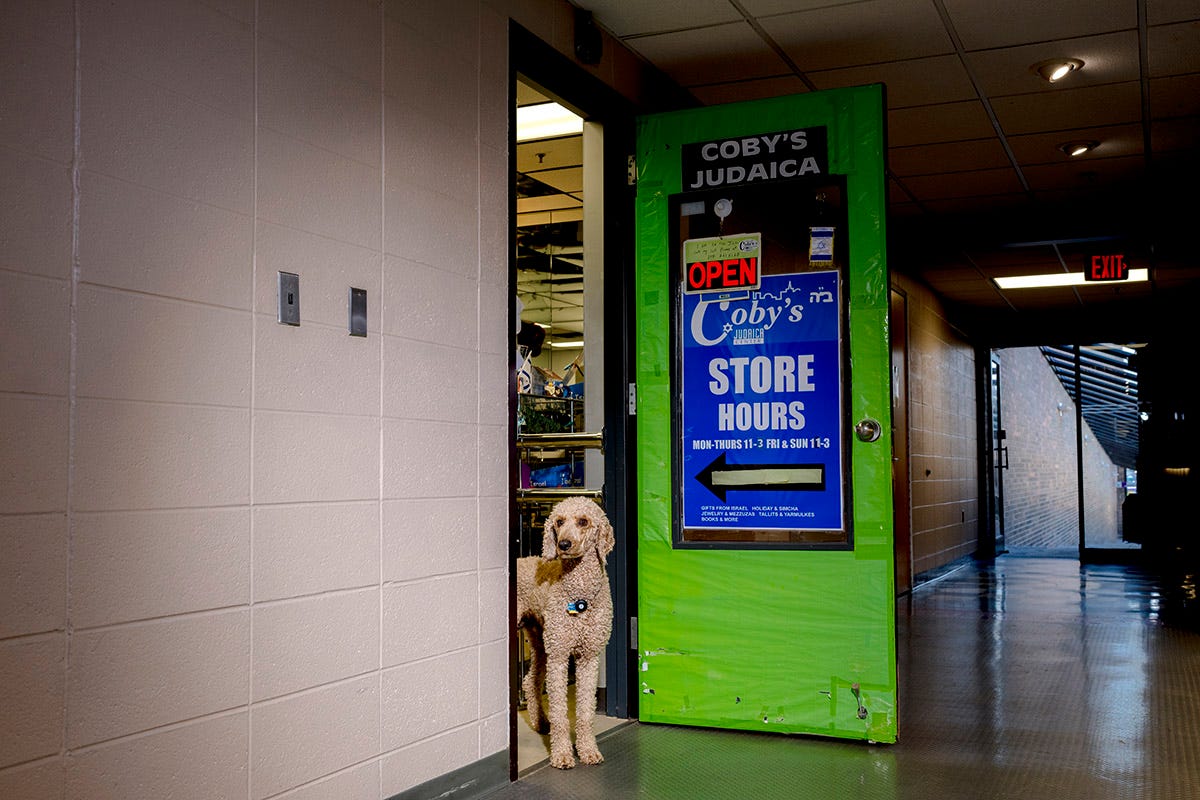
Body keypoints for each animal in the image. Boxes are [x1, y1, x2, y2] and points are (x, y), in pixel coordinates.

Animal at [516, 494, 614, 767]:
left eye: (583, 521)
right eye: (559, 521)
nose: (564, 544)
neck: (579, 593)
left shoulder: (589, 657)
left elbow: (585, 712)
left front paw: (588, 750)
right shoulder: (559, 657)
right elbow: (561, 713)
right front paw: (561, 754)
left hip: (539, 640)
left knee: (530, 681)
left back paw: (541, 722)